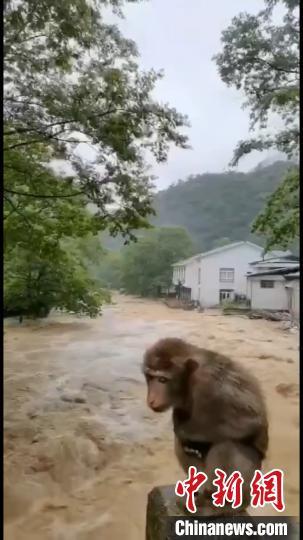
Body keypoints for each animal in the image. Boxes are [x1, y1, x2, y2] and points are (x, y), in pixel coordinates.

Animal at [144, 336, 270, 516]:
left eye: (162, 380)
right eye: (150, 377)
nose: (151, 399)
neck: (189, 380)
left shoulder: (211, 383)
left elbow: (251, 420)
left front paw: (187, 433)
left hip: (251, 480)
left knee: (226, 445)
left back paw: (224, 504)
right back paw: (200, 491)